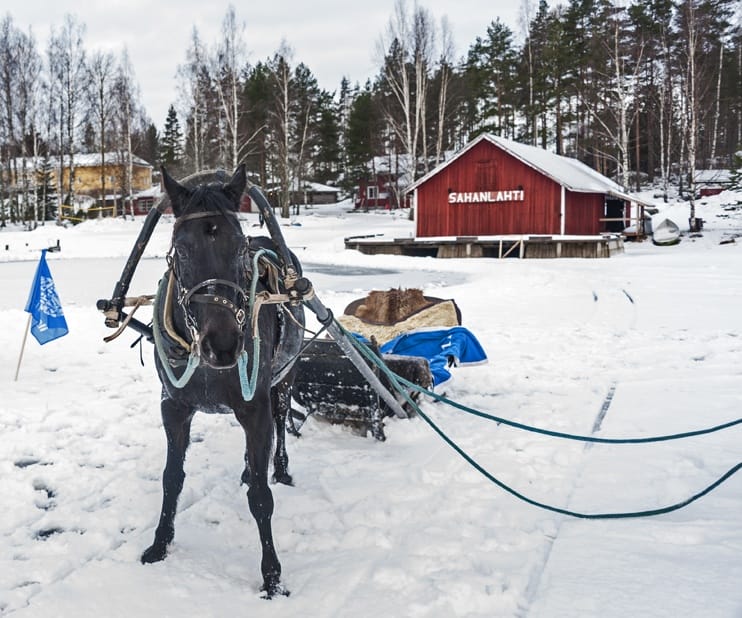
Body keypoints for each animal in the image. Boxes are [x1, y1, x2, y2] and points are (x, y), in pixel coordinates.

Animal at [141, 165, 304, 596]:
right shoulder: (174, 407)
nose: (225, 345)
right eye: (181, 250)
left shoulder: (254, 407)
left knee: (281, 421)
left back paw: (280, 467)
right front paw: (160, 543)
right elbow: (171, 479)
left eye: (241, 248)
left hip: (284, 380)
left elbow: (261, 497)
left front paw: (272, 575)